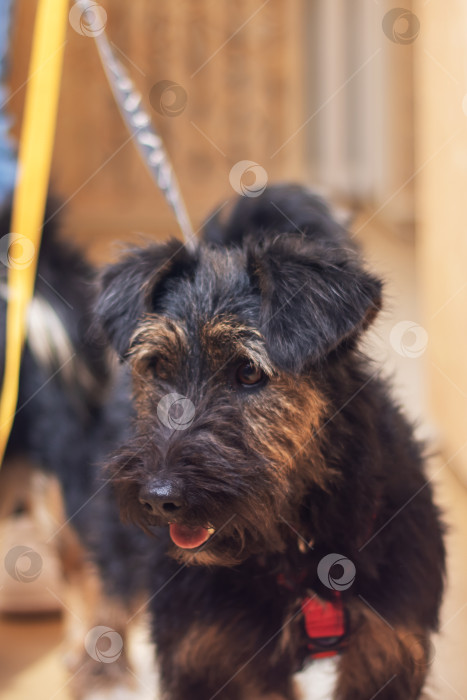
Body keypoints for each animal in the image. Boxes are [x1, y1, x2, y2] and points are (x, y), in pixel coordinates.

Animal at [0, 186, 446, 700]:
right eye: (158, 367)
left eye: (249, 371)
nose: (159, 498)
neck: (296, 545)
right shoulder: (206, 655)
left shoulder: (385, 651)